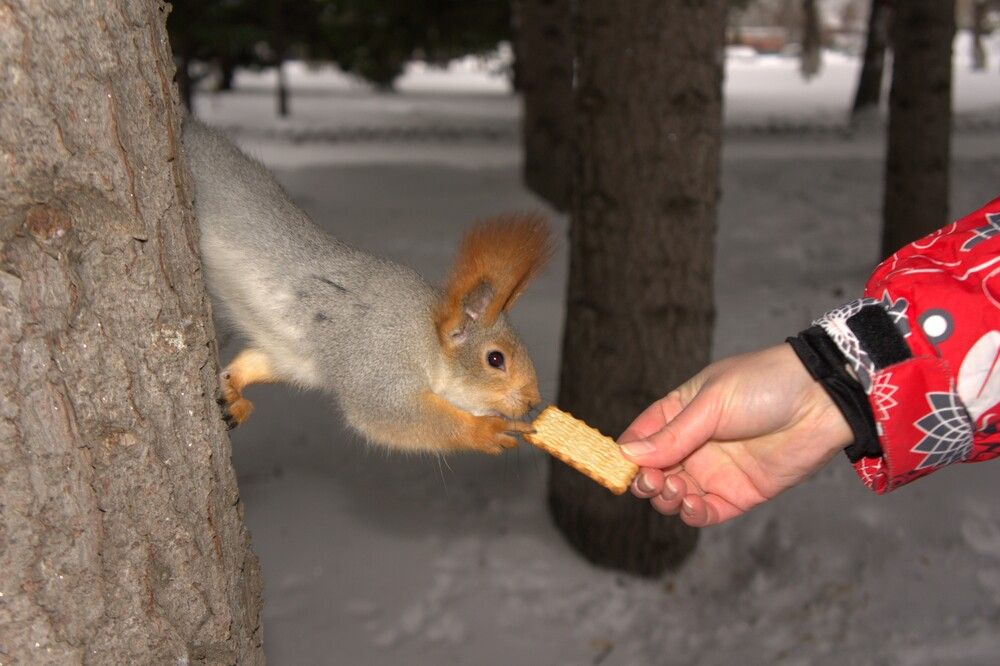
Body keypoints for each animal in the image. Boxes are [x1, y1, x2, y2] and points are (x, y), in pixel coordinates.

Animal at [181, 119, 553, 455]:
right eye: (495, 359)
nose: (532, 400)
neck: (425, 336)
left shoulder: (295, 359)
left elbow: (255, 361)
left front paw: (232, 395)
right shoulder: (375, 356)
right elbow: (387, 414)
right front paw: (486, 431)